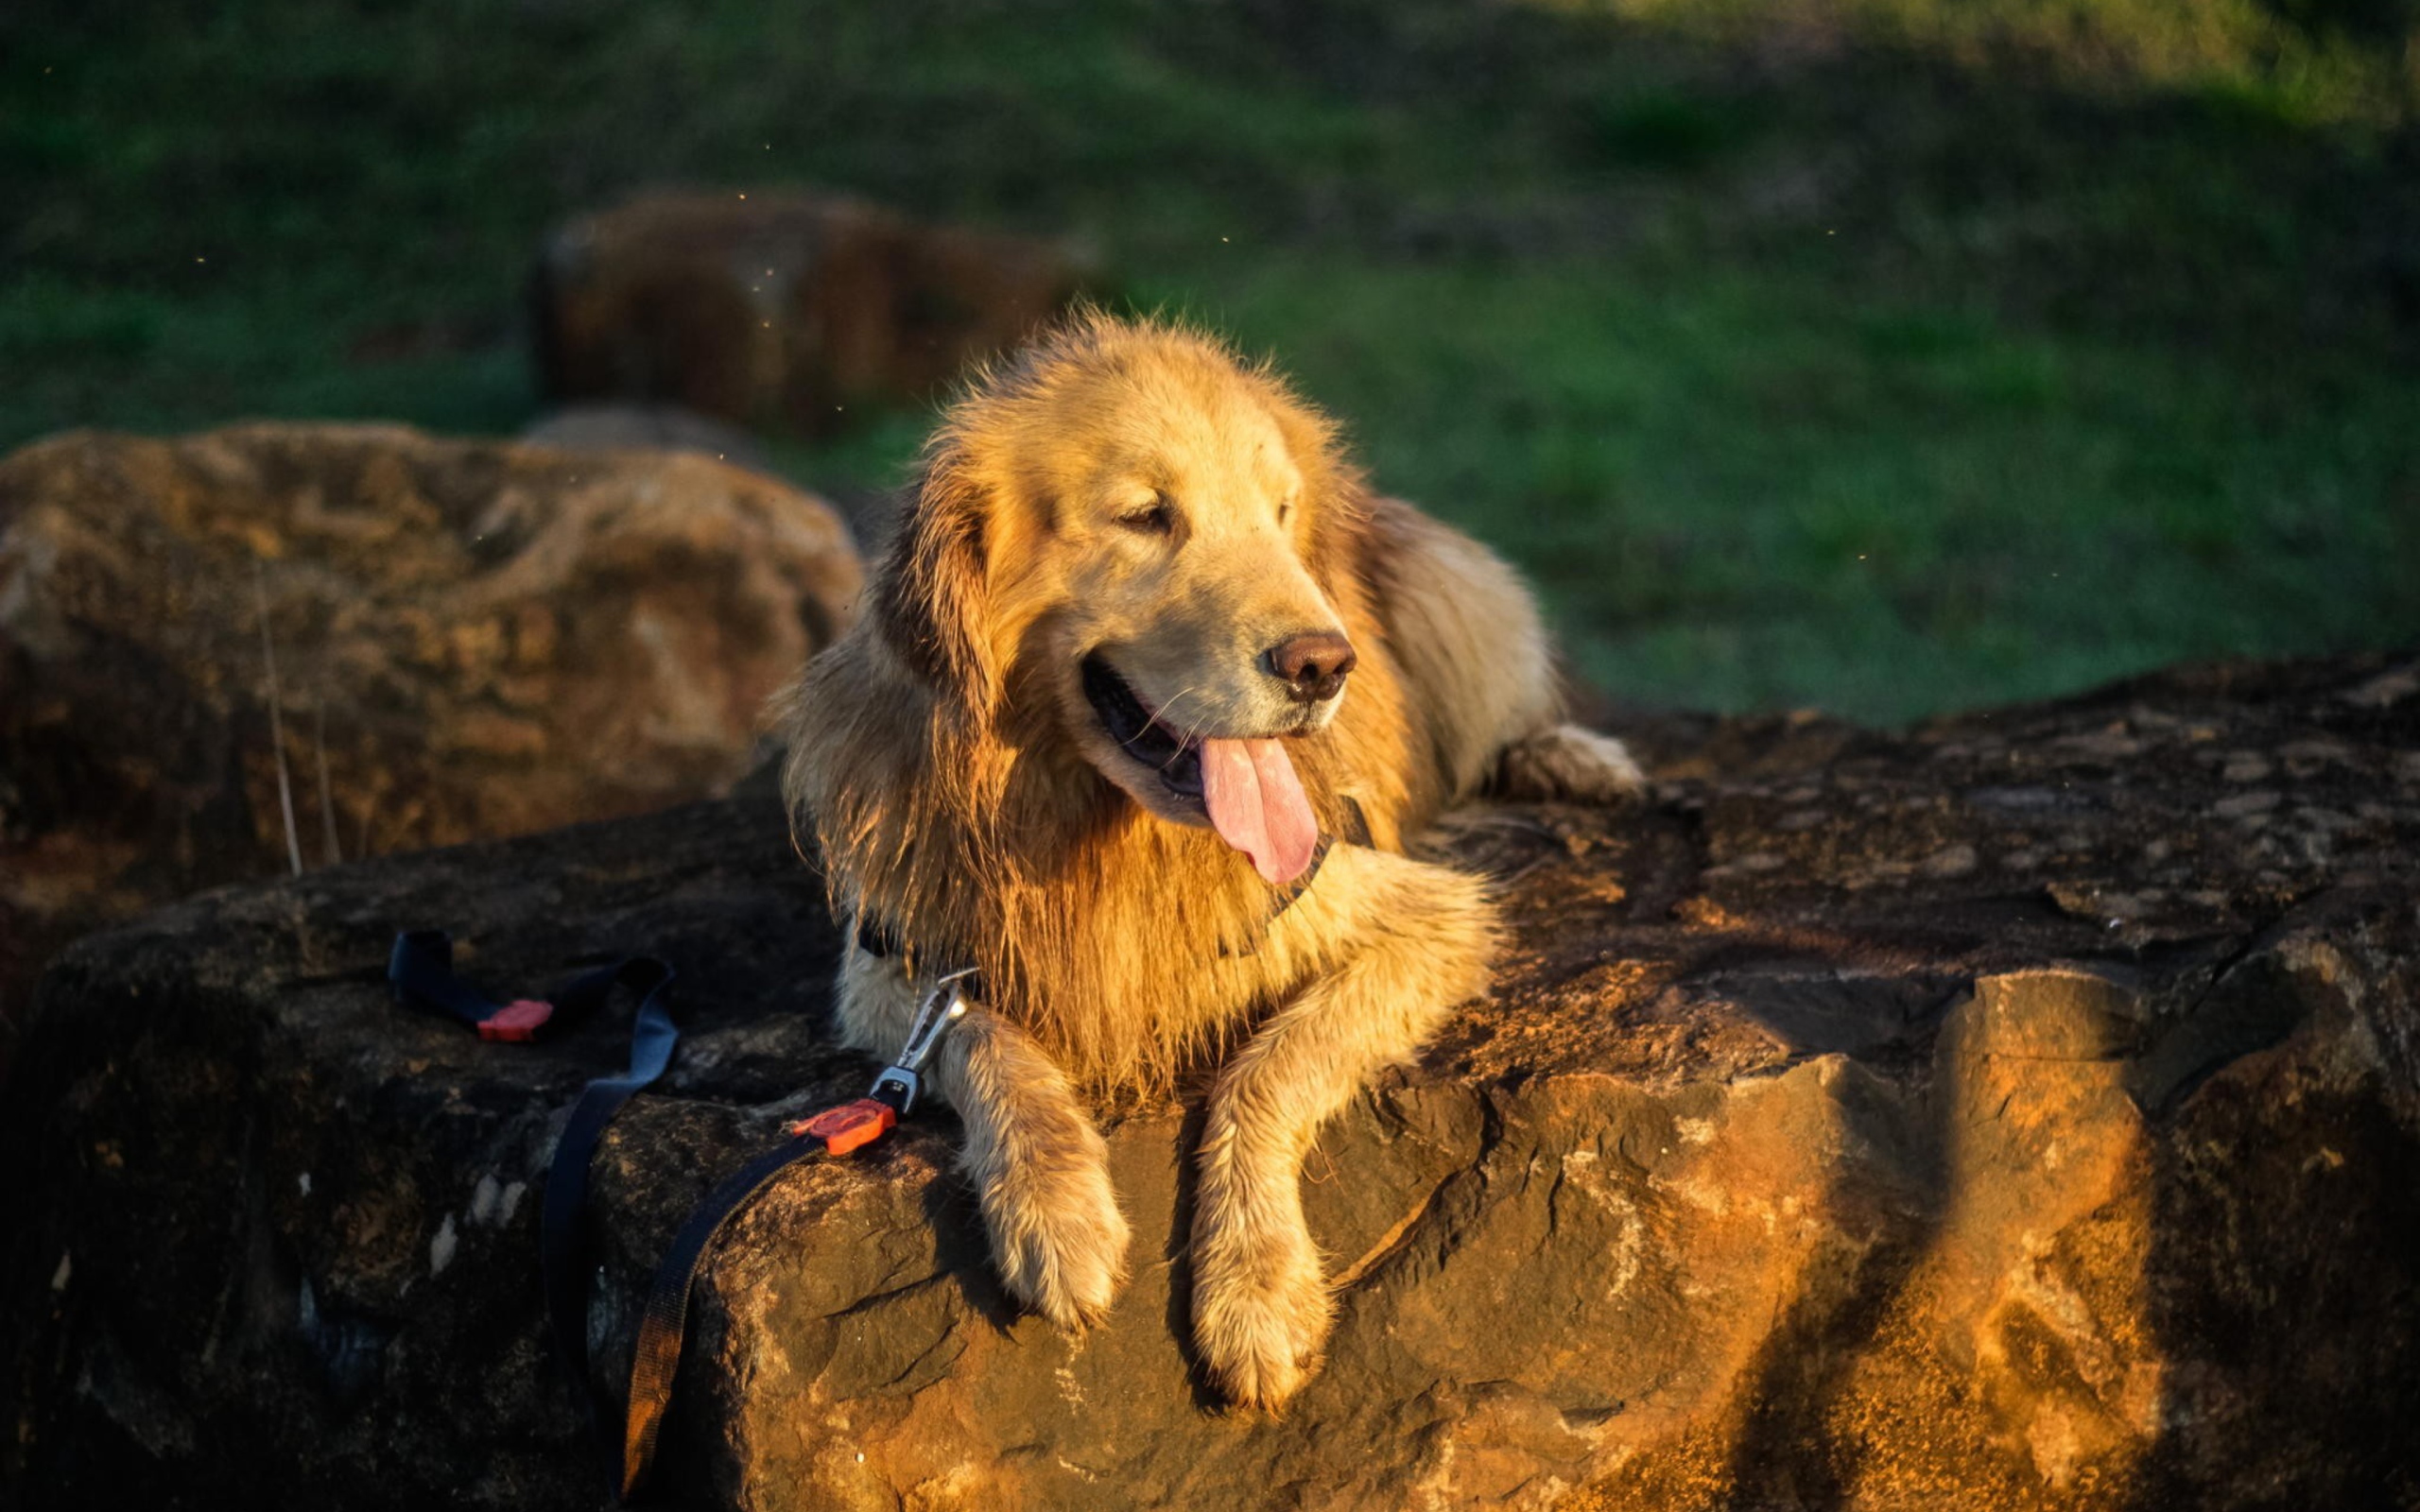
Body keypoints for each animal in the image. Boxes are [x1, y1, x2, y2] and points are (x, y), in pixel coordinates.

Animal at [774, 312, 1645, 1413]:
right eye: (1145, 516)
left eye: (1279, 514)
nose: (1324, 664)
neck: (1100, 828)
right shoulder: (895, 958)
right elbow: (987, 1042)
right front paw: (1057, 1214)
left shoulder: (1421, 914)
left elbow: (1269, 1068)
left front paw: (1256, 1291)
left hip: (1462, 600)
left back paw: (1574, 757)